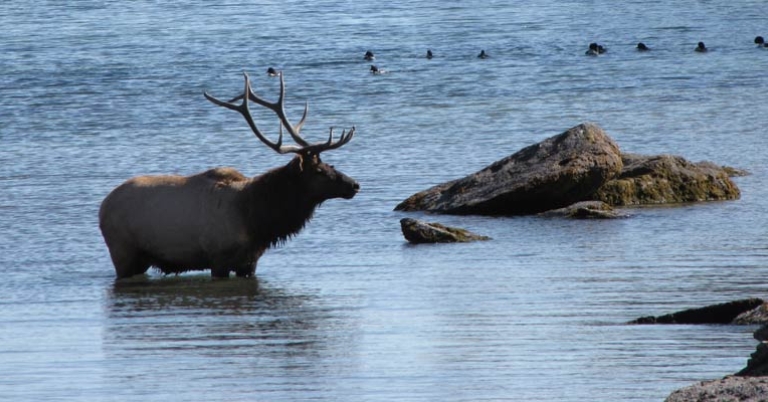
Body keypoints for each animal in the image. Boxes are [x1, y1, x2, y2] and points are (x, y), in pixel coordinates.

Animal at [99, 71, 359, 279]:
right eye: (319, 171)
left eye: (331, 164)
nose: (355, 184)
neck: (256, 220)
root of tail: (102, 206)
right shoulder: (218, 258)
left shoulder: (250, 262)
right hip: (122, 251)